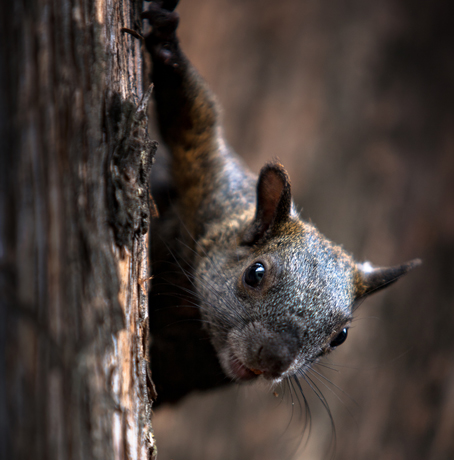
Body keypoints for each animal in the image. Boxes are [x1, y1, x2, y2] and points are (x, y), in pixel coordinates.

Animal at [143, 0, 422, 406]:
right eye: (254, 273)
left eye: (340, 337)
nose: (273, 359)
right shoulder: (211, 180)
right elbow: (194, 116)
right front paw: (166, 39)